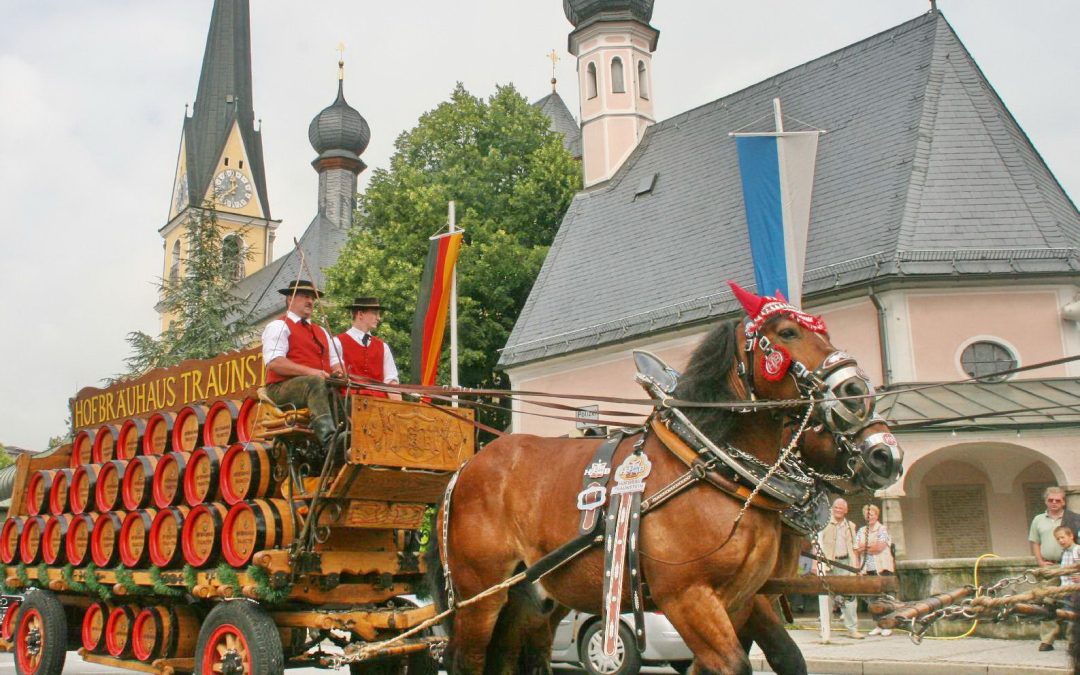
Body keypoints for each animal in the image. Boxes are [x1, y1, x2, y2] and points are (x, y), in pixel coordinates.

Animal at [425, 304, 881, 669]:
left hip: (533, 597)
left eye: (824, 331)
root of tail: (464, 471)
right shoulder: (687, 597)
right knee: (468, 660)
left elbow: (778, 657)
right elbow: (733, 663)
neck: (715, 467)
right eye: (787, 332)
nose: (857, 393)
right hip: (480, 593)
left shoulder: (746, 597)